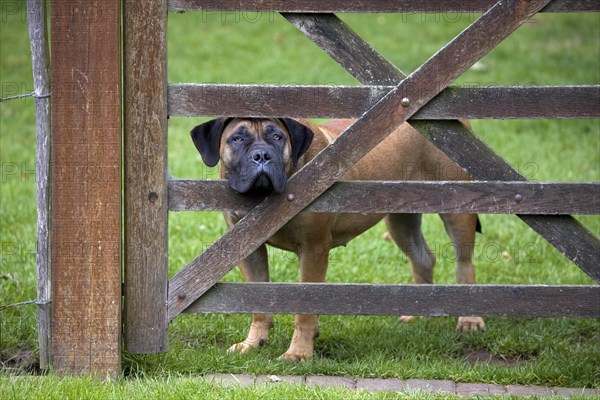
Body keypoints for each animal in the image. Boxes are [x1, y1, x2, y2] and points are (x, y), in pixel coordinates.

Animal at [191, 117, 482, 360]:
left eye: (277, 137)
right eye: (237, 138)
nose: (261, 155)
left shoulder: (313, 249)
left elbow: (305, 308)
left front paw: (298, 353)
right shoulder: (248, 248)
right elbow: (259, 301)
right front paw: (253, 343)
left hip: (458, 207)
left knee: (464, 263)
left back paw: (470, 319)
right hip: (401, 218)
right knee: (422, 258)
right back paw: (419, 313)